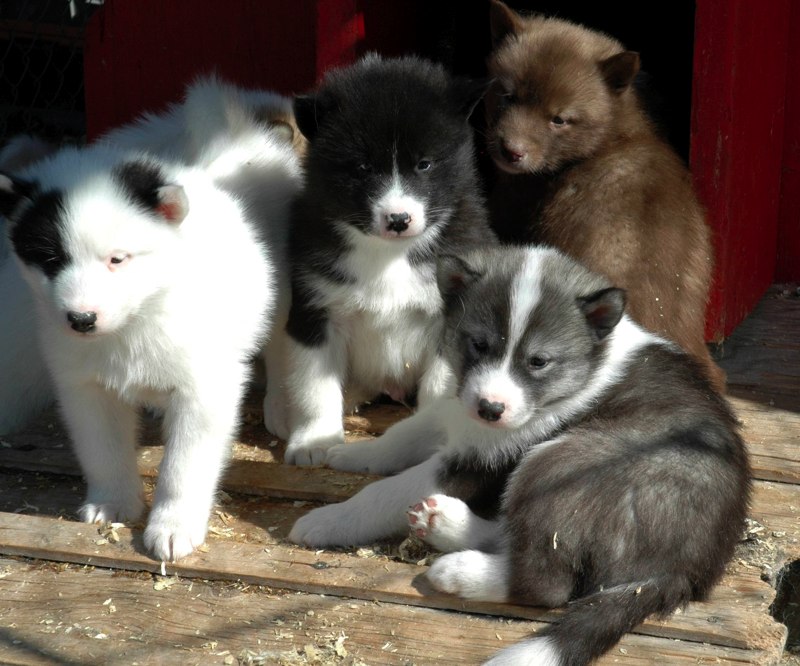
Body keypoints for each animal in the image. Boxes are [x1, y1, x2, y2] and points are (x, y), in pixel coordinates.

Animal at [0, 145, 276, 560]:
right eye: (51, 260)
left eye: (118, 259)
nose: (81, 319)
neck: (136, 322)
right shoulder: (85, 387)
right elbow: (103, 449)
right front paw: (113, 502)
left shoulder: (205, 387)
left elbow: (183, 464)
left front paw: (173, 525)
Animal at [282, 54, 494, 464]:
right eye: (363, 167)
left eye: (424, 164)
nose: (398, 220)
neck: (388, 255)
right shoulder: (315, 310)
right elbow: (314, 386)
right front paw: (314, 441)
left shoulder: (450, 321)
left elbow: (437, 388)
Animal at [290, 244, 752, 664]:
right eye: (478, 344)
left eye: (538, 361)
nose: (490, 409)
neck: (584, 372)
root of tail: (683, 570)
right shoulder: (455, 410)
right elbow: (404, 433)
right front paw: (350, 453)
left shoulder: (477, 459)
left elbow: (382, 493)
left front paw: (327, 521)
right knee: (513, 533)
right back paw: (444, 525)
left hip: (562, 460)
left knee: (545, 581)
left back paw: (459, 572)